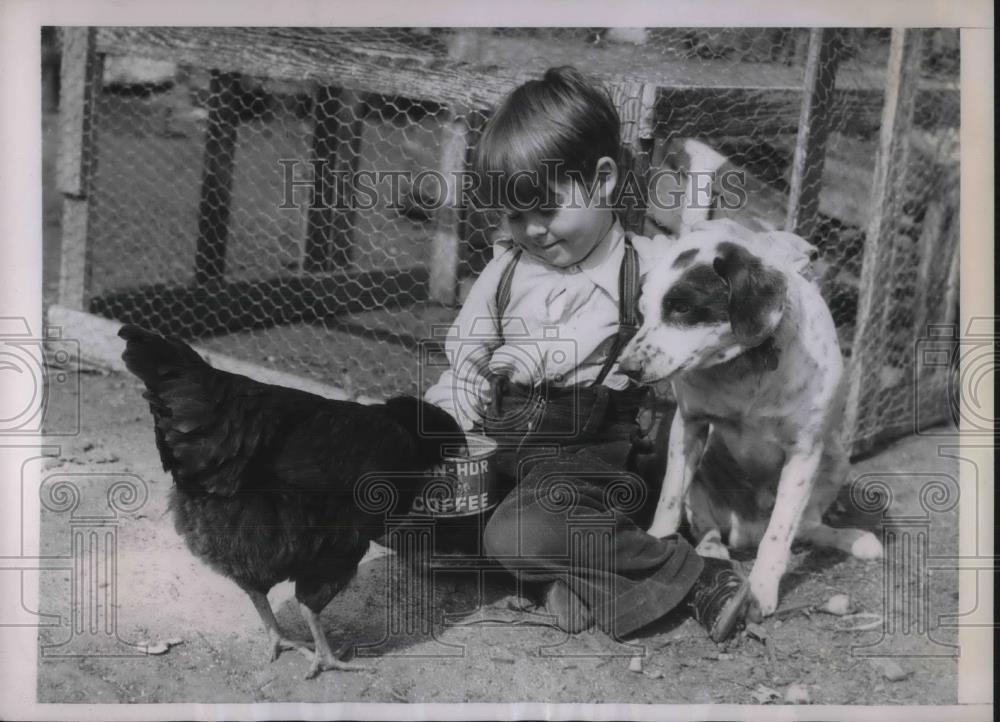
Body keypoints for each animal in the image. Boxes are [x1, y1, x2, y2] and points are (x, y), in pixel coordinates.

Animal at [616, 217, 884, 616]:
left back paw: (853, 539)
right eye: (643, 311)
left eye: (681, 308)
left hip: (836, 459)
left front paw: (761, 588)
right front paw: (658, 546)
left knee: (804, 527)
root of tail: (747, 531)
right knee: (707, 527)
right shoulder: (689, 425)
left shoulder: (804, 452)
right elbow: (668, 501)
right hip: (700, 478)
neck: (746, 365)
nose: (627, 367)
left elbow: (781, 532)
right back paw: (713, 552)